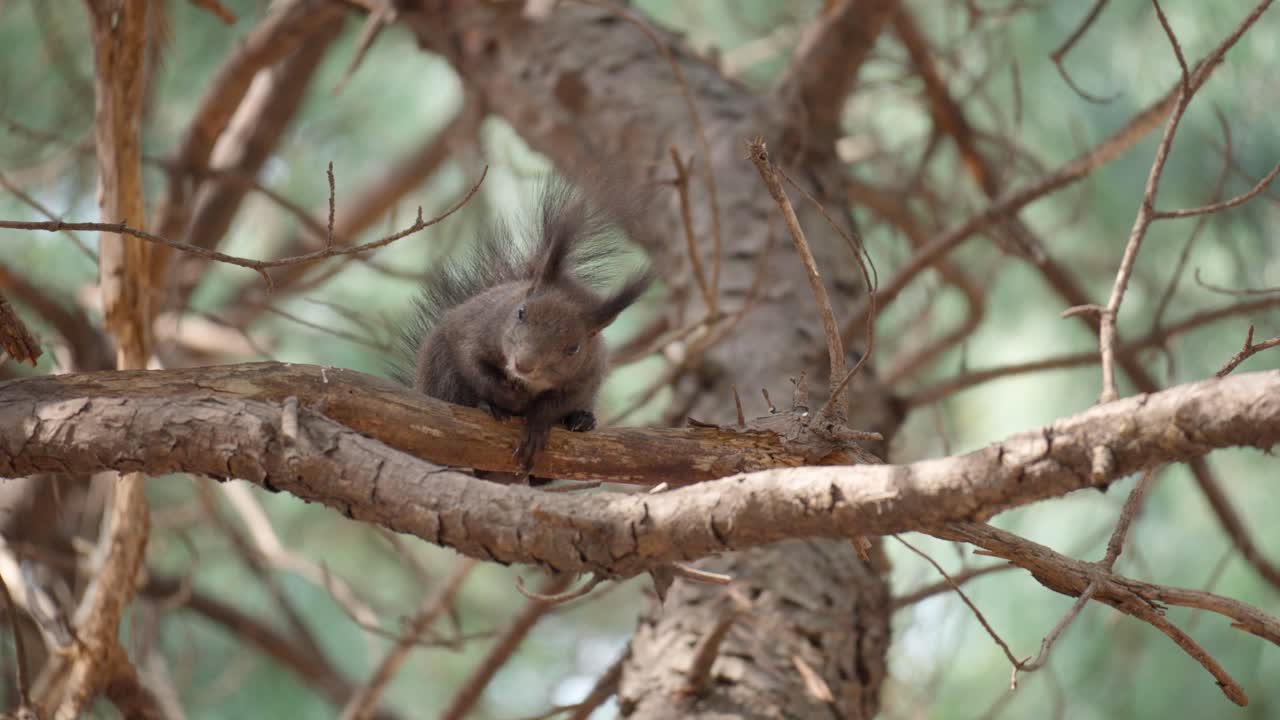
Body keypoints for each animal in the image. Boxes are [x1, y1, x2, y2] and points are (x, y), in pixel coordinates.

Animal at [394, 176, 656, 474]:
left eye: (574, 348)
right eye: (520, 313)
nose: (523, 364)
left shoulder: (587, 377)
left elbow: (556, 405)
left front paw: (538, 424)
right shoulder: (475, 333)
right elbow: (474, 367)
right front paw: (504, 398)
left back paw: (581, 421)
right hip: (441, 373)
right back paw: (486, 406)